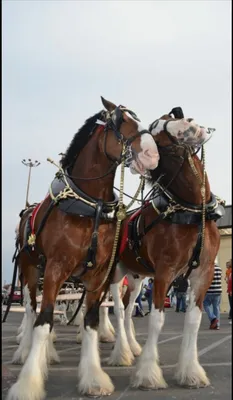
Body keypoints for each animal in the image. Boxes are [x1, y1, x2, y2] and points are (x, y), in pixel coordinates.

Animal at [6, 97, 159, 400]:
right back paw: (25, 351)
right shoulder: (55, 269)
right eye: (121, 121)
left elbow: (90, 321)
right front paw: (27, 384)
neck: (90, 205)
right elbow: (44, 321)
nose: (152, 154)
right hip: (30, 272)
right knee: (30, 310)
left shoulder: (98, 274)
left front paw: (94, 378)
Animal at [108, 110, 225, 390]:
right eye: (153, 131)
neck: (192, 210)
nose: (189, 126)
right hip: (115, 275)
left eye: (173, 115)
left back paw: (133, 347)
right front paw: (148, 374)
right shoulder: (164, 272)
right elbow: (157, 319)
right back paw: (121, 353)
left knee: (129, 309)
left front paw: (191, 371)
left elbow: (193, 319)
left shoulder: (202, 273)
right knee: (118, 309)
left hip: (137, 279)